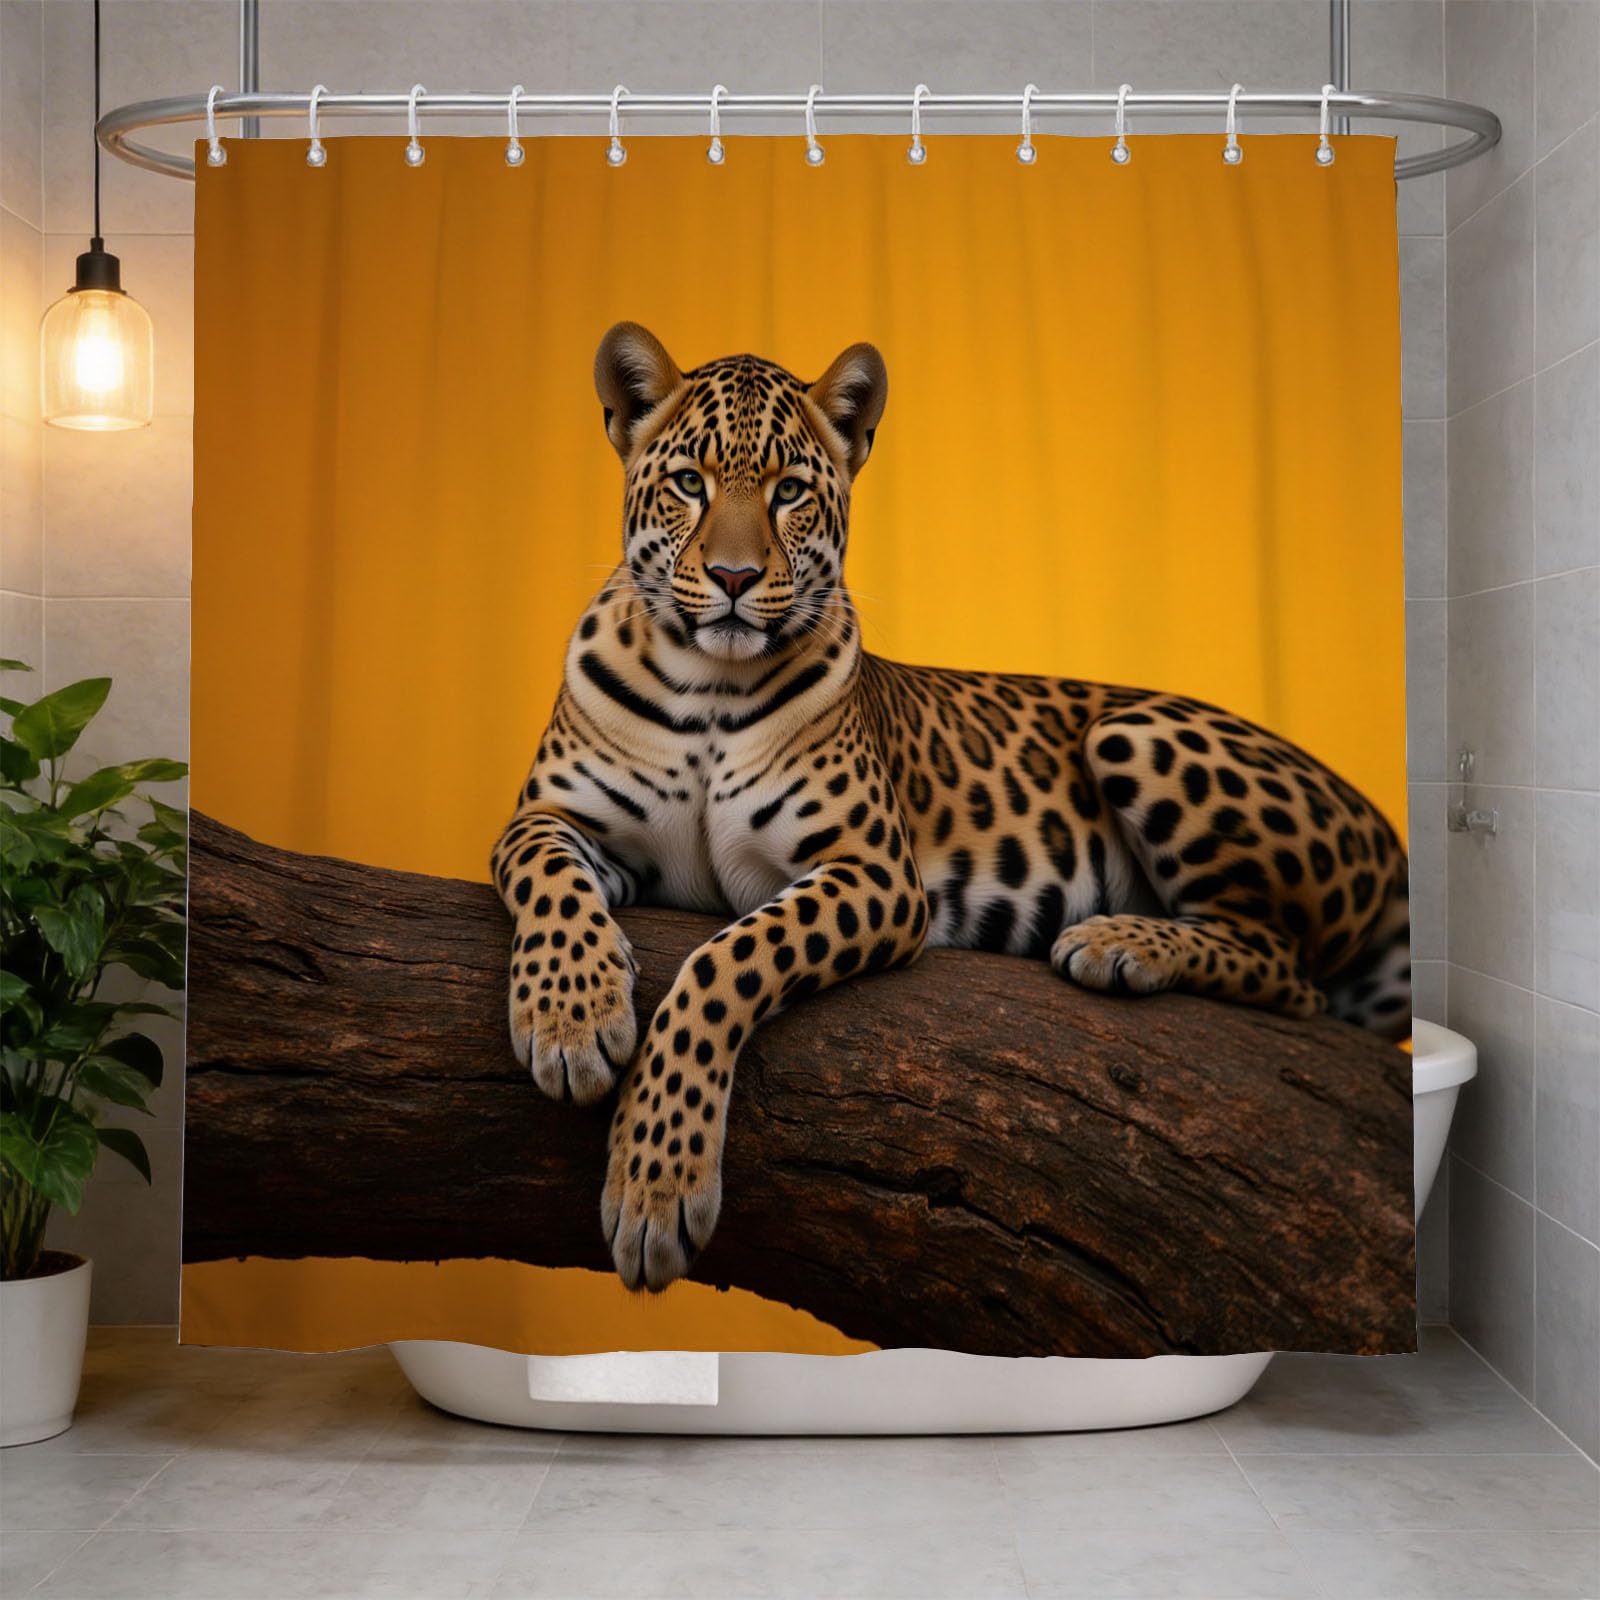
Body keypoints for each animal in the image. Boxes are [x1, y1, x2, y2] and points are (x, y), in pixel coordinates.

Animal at [491, 322, 1412, 1293]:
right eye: (689, 484)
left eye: (789, 493)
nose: (735, 576)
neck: (709, 683)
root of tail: (1387, 834)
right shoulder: (549, 816)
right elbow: (550, 880)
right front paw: (572, 1018)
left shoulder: (874, 874)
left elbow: (723, 963)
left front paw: (656, 1184)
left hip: (1133, 731)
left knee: (1291, 971)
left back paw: (1116, 942)